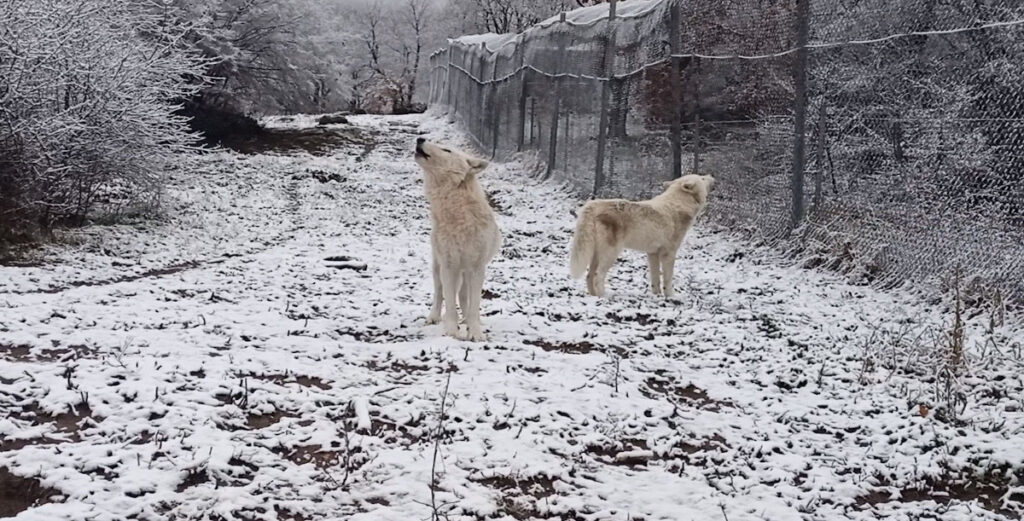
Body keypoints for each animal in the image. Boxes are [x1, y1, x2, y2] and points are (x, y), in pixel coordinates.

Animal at [411, 138, 499, 341]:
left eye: (447, 150)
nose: (420, 139)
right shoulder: (449, 265)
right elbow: (450, 302)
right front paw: (451, 331)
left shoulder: (477, 268)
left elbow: (474, 305)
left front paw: (475, 332)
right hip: (438, 267)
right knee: (439, 293)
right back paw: (434, 317)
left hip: (466, 271)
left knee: (464, 296)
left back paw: (467, 320)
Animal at [569, 174, 712, 296]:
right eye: (702, 178)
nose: (711, 176)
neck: (680, 205)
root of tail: (592, 204)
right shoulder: (669, 254)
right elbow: (667, 279)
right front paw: (670, 297)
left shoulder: (653, 254)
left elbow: (655, 279)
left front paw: (657, 295)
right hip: (611, 254)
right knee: (598, 275)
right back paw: (604, 296)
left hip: (597, 254)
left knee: (589, 275)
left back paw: (593, 295)